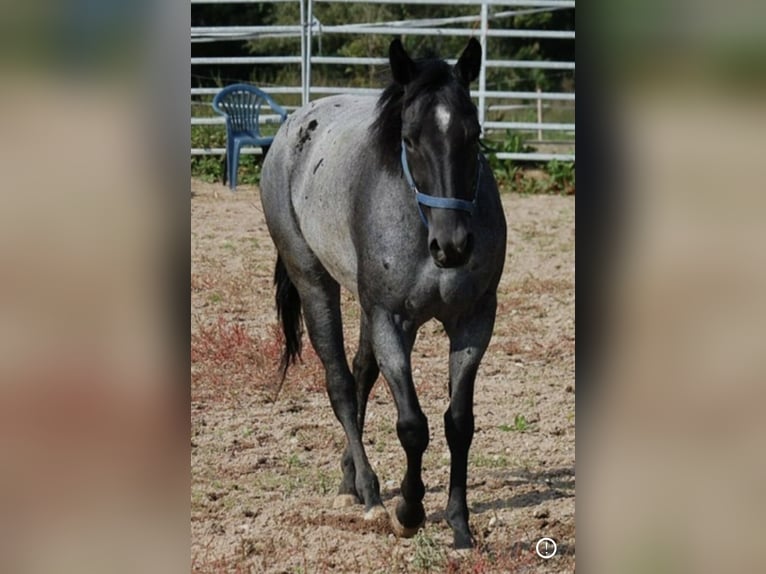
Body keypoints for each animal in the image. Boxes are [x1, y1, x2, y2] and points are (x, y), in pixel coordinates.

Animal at [260, 38, 508, 552]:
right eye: (409, 138)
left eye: (473, 133)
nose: (453, 246)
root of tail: (294, 125)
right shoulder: (391, 319)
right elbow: (412, 425)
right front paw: (410, 512)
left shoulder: (474, 321)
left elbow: (459, 422)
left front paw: (459, 524)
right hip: (315, 282)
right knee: (340, 384)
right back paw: (370, 492)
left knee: (361, 374)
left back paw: (349, 479)